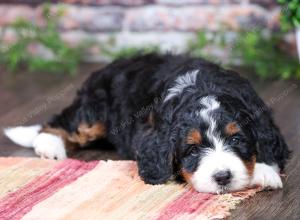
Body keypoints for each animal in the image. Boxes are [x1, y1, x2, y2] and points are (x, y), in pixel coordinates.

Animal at [4, 54, 290, 193]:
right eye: (192, 150)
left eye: (236, 139)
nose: (222, 177)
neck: (201, 87)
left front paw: (264, 170)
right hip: (96, 108)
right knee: (66, 122)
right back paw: (49, 145)